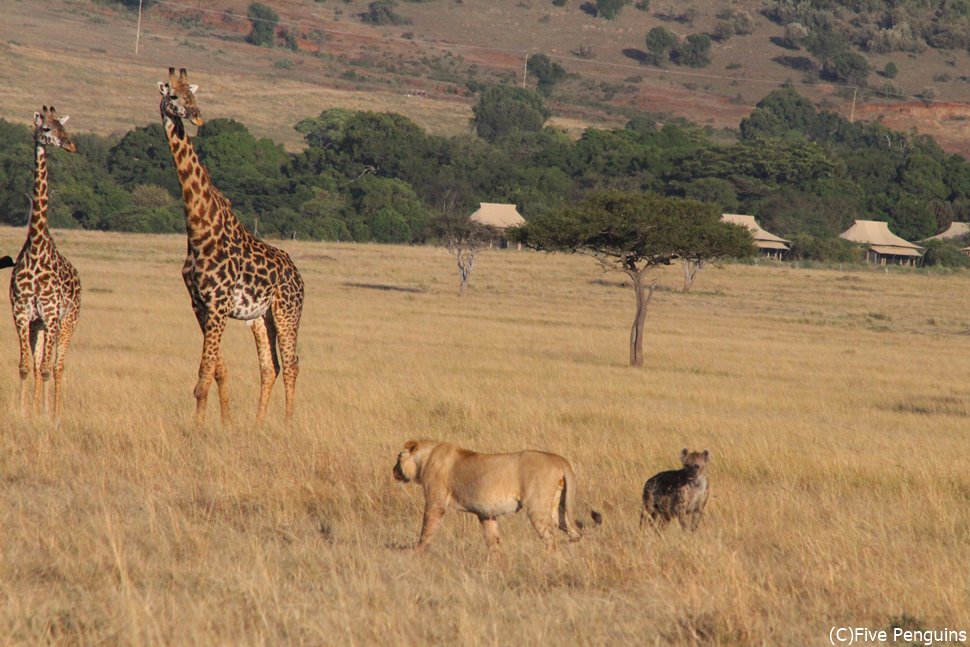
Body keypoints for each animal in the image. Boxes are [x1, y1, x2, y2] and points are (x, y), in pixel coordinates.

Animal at [157, 68, 304, 428]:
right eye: (174, 96)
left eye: (194, 95)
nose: (197, 116)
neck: (198, 230)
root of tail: (300, 278)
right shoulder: (199, 304)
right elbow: (217, 370)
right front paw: (225, 423)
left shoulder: (218, 304)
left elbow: (204, 373)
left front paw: (198, 428)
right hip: (261, 318)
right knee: (270, 366)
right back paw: (257, 424)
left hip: (287, 312)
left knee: (291, 364)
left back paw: (288, 425)